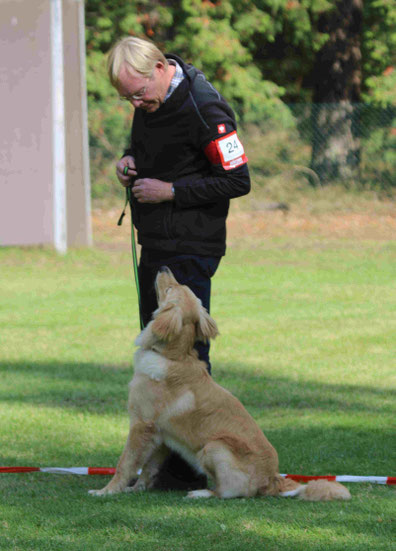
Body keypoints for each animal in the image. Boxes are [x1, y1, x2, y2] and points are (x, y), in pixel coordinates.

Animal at [89, 266, 350, 500]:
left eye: (172, 288)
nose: (164, 266)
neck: (173, 356)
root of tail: (272, 479)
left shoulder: (141, 426)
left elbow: (125, 463)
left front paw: (107, 491)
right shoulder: (161, 435)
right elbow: (148, 468)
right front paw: (137, 489)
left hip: (213, 447)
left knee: (230, 493)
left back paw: (201, 493)